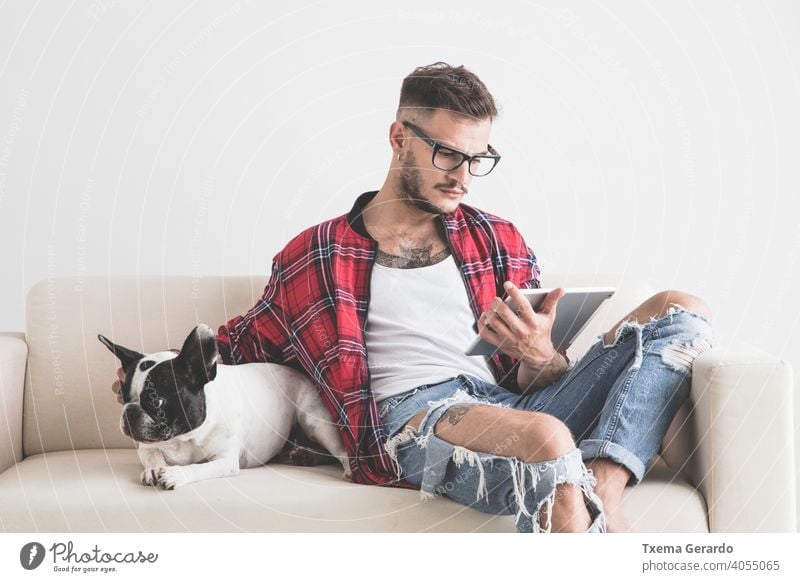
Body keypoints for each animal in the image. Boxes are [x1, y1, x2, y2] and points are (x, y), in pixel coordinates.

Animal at [100, 326, 350, 490]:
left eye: (157, 401)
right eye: (123, 397)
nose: (130, 413)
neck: (187, 436)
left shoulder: (225, 460)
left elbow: (199, 468)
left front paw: (177, 474)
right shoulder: (147, 446)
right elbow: (153, 455)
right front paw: (153, 469)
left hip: (317, 424)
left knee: (340, 451)